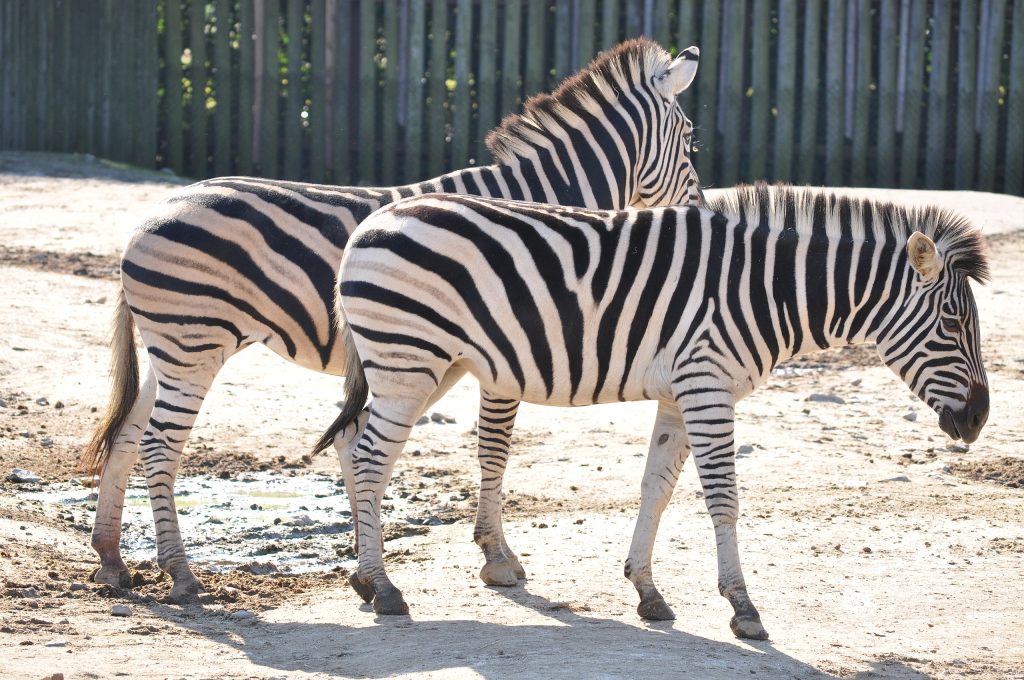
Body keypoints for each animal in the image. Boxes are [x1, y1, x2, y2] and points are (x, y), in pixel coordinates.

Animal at [80, 38, 704, 601]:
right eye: (691, 139)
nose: (699, 214)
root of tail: (149, 214)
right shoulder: (510, 350)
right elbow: (494, 447)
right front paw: (497, 558)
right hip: (196, 343)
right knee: (160, 444)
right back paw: (181, 575)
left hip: (170, 348)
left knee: (130, 433)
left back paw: (113, 561)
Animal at [321, 183, 990, 640]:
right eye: (953, 324)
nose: (980, 421)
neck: (766, 289)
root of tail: (371, 221)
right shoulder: (707, 387)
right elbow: (723, 499)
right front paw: (742, 607)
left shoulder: (679, 394)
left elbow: (656, 489)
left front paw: (647, 591)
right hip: (410, 362)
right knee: (373, 458)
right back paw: (386, 588)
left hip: (430, 366)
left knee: (352, 442)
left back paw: (363, 576)